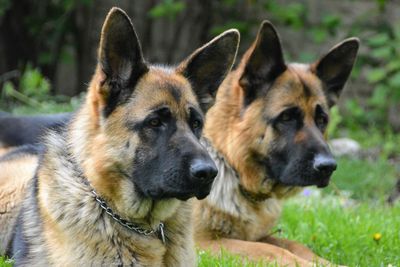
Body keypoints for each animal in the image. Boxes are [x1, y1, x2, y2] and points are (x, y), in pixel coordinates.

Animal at [194, 21, 360, 267]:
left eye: (322, 120)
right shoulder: (203, 243)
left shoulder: (261, 235)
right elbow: (273, 250)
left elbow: (297, 245)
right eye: (287, 117)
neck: (229, 163)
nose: (328, 167)